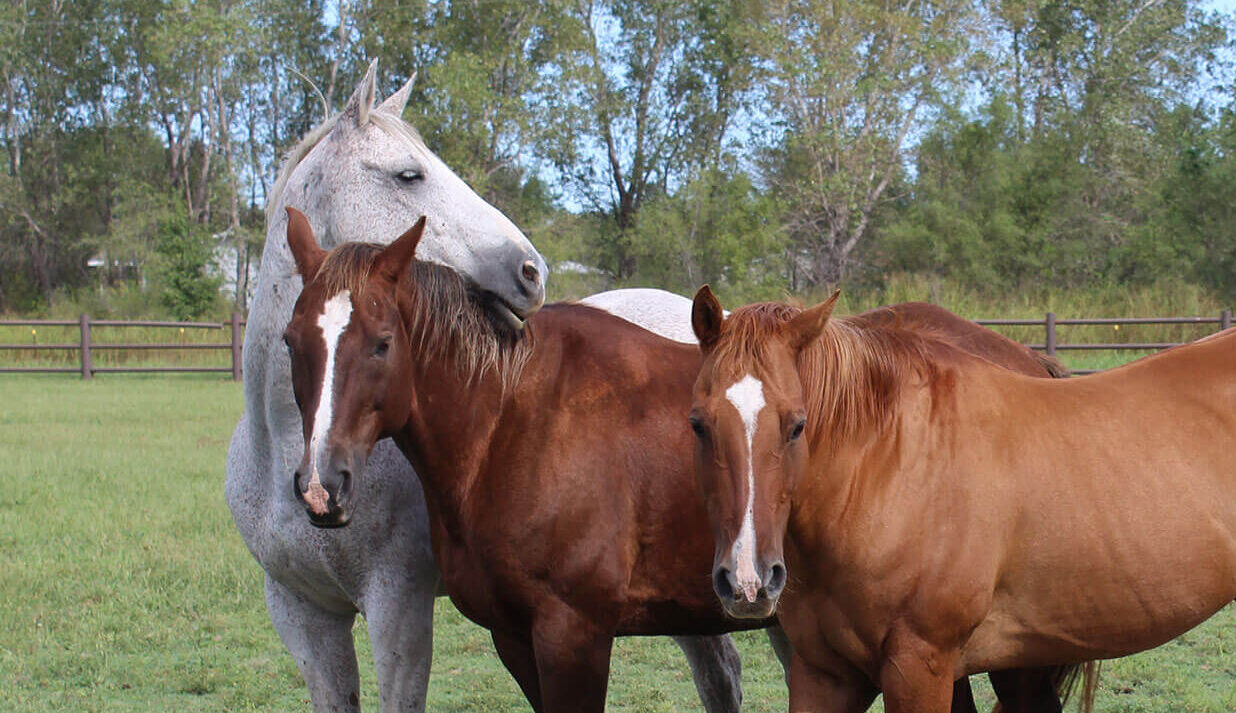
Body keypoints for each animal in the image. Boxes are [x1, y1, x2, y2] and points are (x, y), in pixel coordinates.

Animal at [280, 215, 1092, 711]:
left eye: (382, 342)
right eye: (292, 341)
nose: (322, 486)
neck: (512, 419)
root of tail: (1029, 362)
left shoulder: (574, 634)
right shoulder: (516, 639)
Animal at [692, 289, 1231, 711]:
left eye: (797, 425)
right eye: (698, 423)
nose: (748, 582)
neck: (889, 466)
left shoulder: (920, 666)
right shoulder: (824, 675)